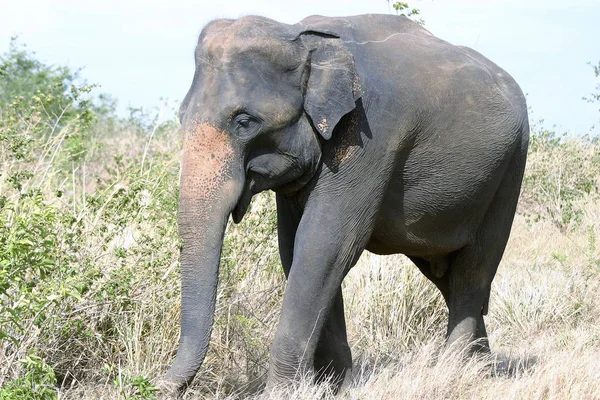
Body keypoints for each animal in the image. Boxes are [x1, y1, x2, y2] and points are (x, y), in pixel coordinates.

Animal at [162, 12, 528, 394]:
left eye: (245, 122)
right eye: (181, 117)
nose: (159, 386)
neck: (302, 38)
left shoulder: (370, 135)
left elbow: (325, 245)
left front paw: (285, 392)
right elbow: (295, 248)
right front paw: (333, 386)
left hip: (510, 169)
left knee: (473, 271)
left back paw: (456, 371)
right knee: (447, 276)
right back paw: (482, 368)